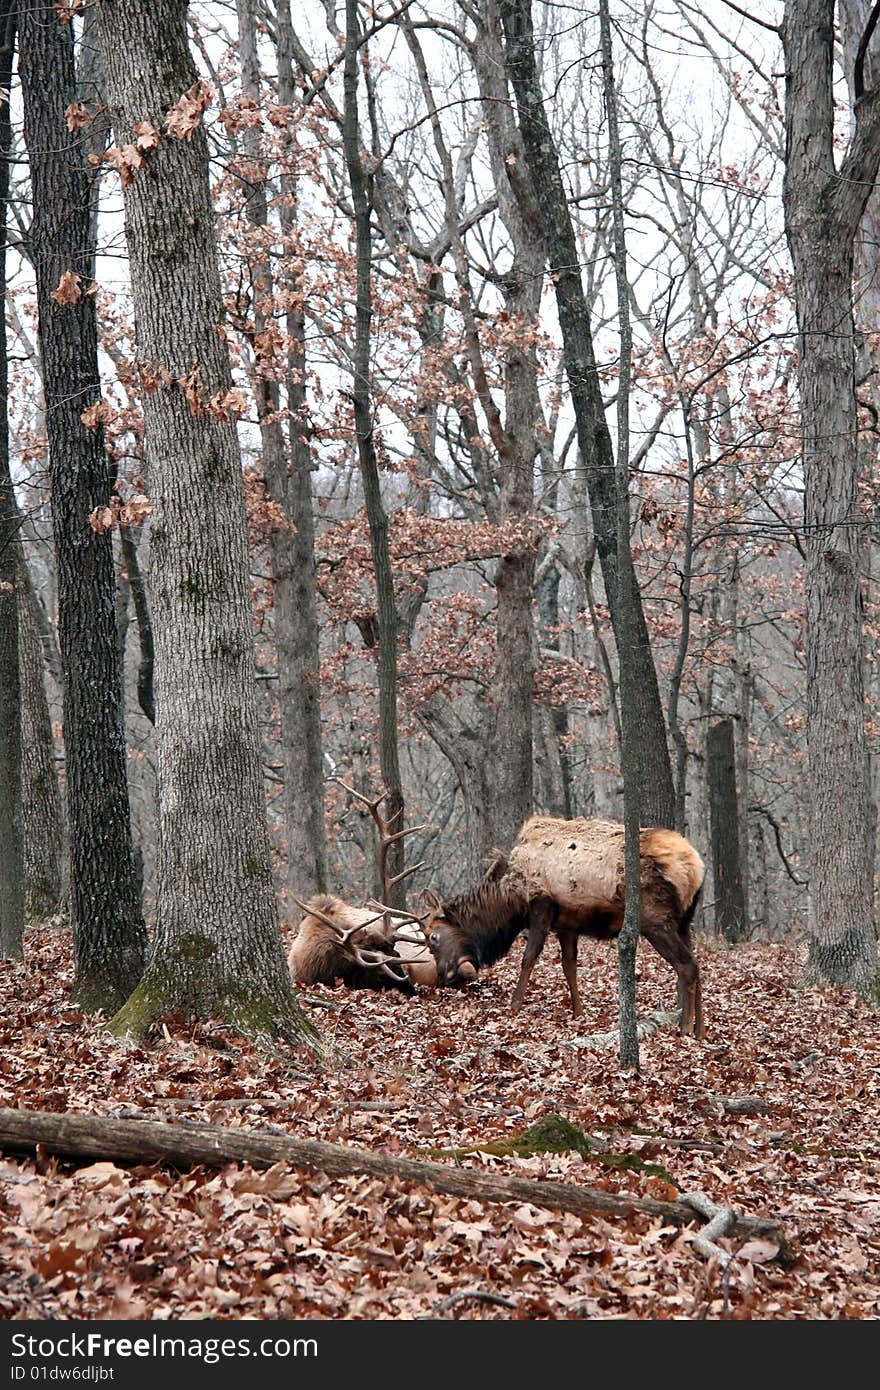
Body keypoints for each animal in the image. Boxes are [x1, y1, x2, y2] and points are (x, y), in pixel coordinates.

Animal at [422, 811, 703, 1034]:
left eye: (432, 937)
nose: (443, 976)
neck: (509, 899)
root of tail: (694, 866)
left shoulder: (541, 906)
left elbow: (528, 957)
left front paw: (513, 1006)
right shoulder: (567, 925)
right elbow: (569, 966)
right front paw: (579, 1012)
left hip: (656, 920)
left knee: (687, 966)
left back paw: (685, 1029)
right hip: (684, 921)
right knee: (697, 965)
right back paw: (700, 1030)